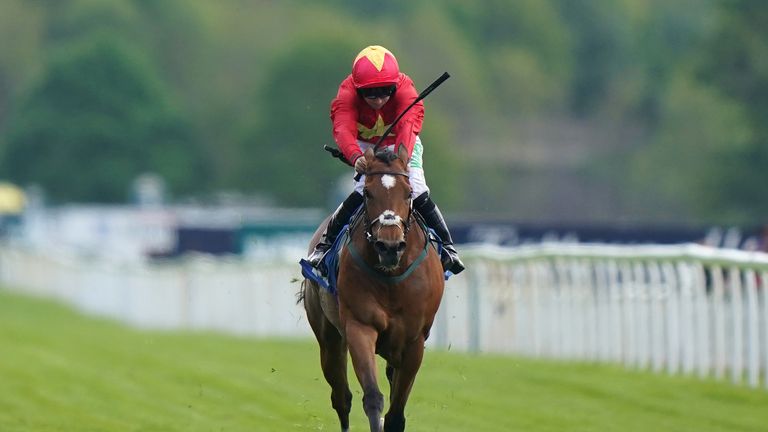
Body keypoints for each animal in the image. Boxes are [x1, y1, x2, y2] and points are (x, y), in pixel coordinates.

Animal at [300, 146, 444, 432]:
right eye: (367, 193)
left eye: (408, 193)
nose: (389, 246)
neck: (392, 278)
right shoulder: (360, 326)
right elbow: (373, 397)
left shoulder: (414, 341)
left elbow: (396, 414)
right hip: (329, 338)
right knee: (341, 397)